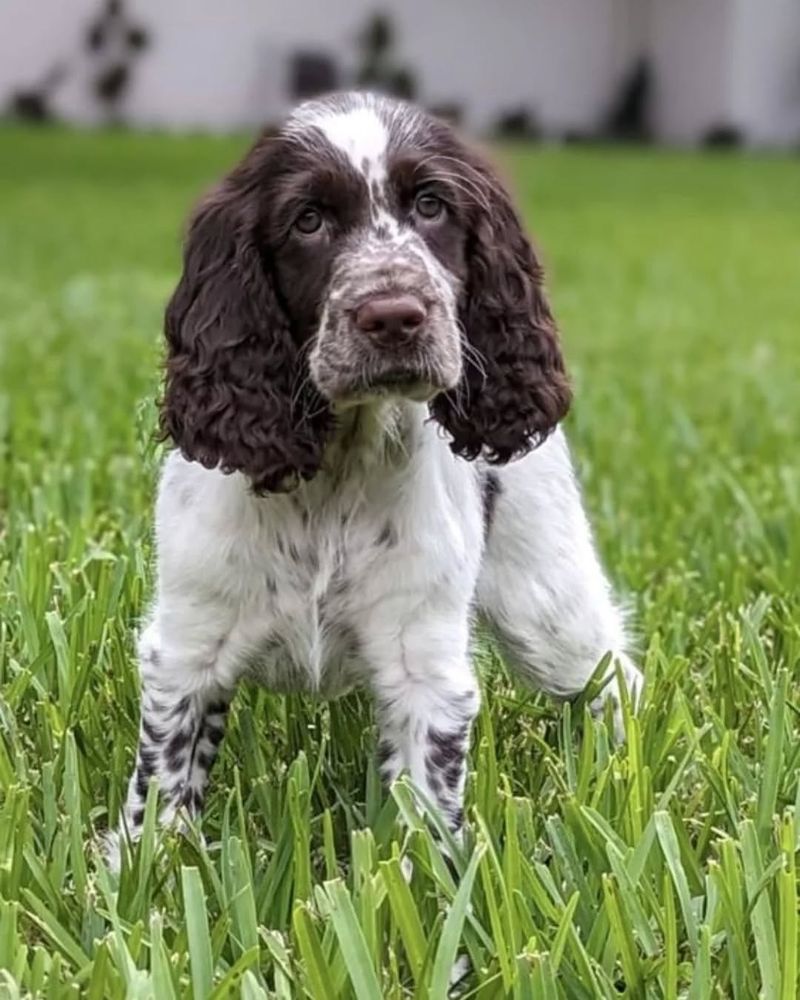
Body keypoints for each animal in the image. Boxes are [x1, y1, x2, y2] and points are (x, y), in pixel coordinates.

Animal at [114, 90, 644, 852]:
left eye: (431, 206)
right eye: (308, 220)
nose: (395, 315)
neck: (339, 464)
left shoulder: (424, 664)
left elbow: (425, 819)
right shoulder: (188, 643)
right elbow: (159, 795)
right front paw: (139, 871)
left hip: (547, 602)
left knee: (614, 677)